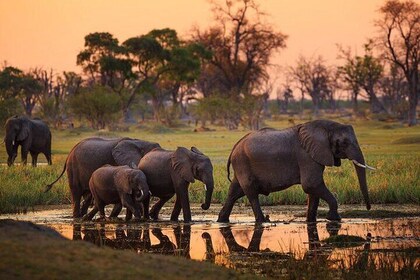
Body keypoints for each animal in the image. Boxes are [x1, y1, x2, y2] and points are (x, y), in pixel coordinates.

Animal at [218, 120, 372, 223]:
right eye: (344, 143)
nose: (368, 209)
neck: (325, 127)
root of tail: (235, 146)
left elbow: (313, 189)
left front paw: (311, 221)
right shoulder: (306, 155)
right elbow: (311, 184)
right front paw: (334, 219)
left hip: (241, 164)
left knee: (234, 191)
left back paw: (222, 220)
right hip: (242, 162)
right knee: (251, 192)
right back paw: (263, 221)